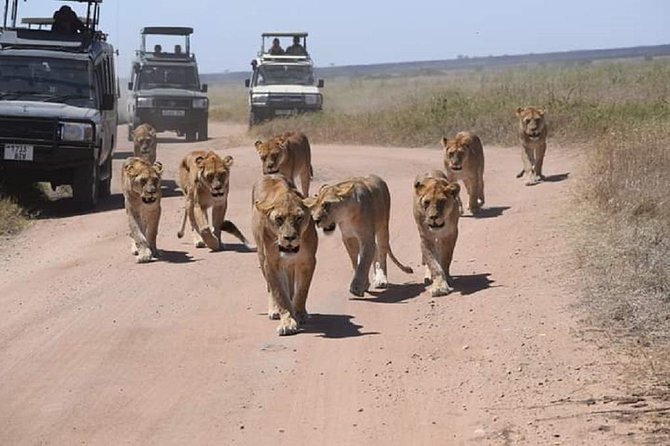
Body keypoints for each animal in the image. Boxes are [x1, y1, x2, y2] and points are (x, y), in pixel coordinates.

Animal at [253, 173, 318, 334]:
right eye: (279, 219)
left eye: (299, 218)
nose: (289, 238)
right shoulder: (270, 263)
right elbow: (279, 293)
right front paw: (287, 322)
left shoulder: (308, 261)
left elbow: (302, 291)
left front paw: (299, 314)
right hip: (261, 256)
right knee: (270, 287)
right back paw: (274, 310)